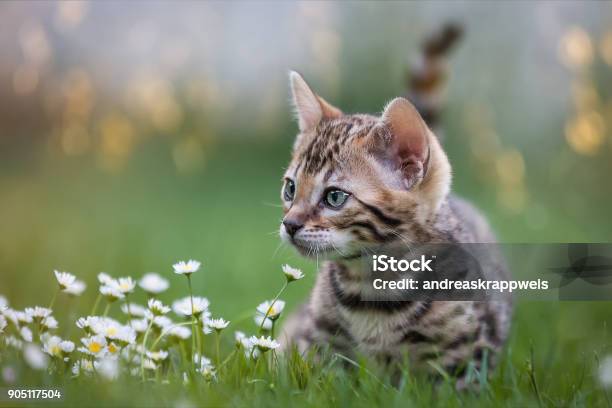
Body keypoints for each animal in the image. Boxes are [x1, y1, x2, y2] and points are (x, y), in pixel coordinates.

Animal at [278, 68, 512, 384]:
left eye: (334, 197)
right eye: (290, 189)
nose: (289, 224)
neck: (371, 287)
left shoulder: (468, 356)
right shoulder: (319, 340)